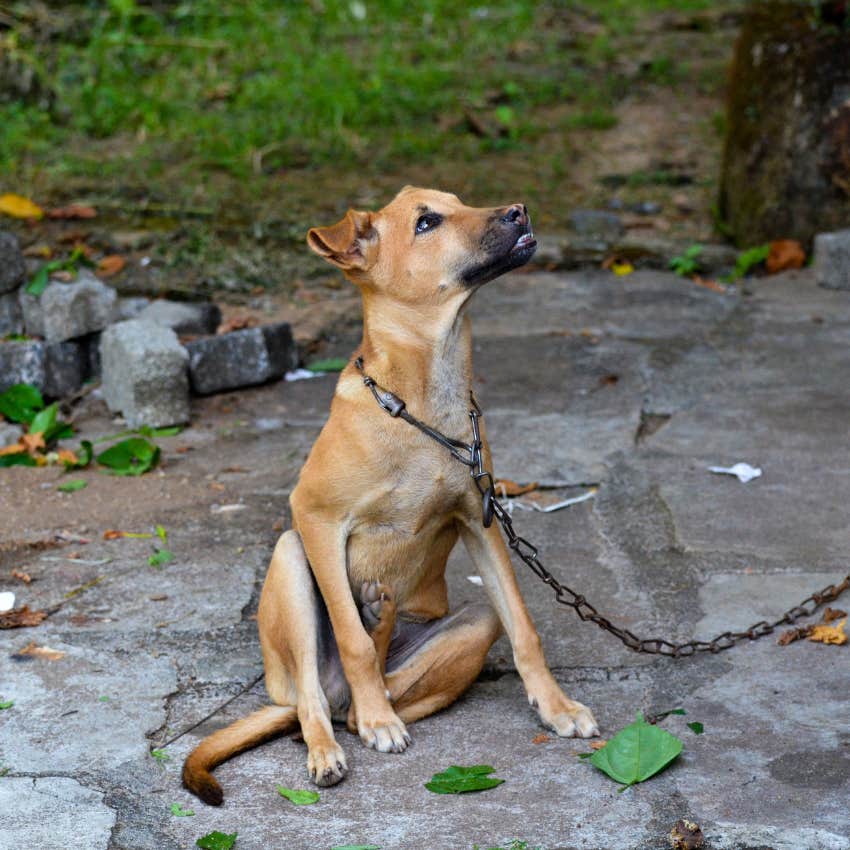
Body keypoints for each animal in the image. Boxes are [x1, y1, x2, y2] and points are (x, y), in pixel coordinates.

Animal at [183, 186, 600, 800]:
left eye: (458, 200)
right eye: (427, 223)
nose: (519, 211)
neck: (422, 400)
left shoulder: (480, 521)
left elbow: (525, 628)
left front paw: (557, 707)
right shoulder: (315, 518)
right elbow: (350, 640)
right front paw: (378, 719)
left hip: (474, 621)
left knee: (367, 694)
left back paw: (379, 642)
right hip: (290, 562)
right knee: (316, 702)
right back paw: (337, 740)